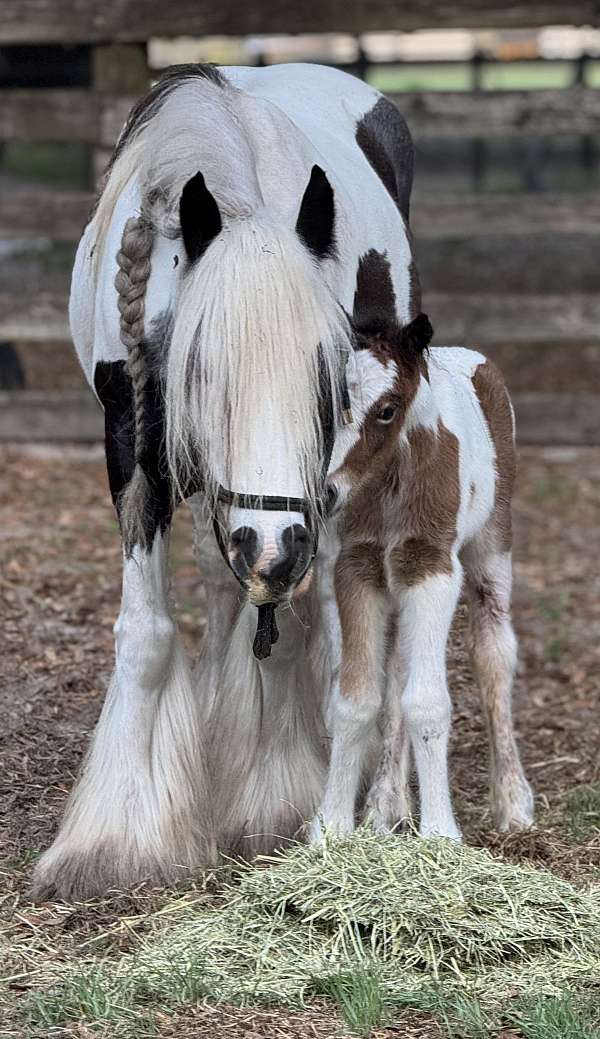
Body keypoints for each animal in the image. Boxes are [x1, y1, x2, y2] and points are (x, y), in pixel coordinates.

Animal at [32, 62, 422, 900]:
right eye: (201, 368)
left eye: (328, 374)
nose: (273, 547)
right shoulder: (133, 450)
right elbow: (149, 633)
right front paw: (115, 843)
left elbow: (287, 631)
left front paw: (271, 800)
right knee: (219, 581)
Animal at [312, 297, 534, 843]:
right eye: (327, 402)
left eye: (387, 410)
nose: (324, 494)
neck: (391, 486)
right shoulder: (358, 568)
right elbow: (356, 701)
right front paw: (331, 830)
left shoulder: (432, 569)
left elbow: (429, 703)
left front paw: (440, 835)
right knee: (398, 669)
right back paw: (385, 807)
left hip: (491, 548)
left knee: (494, 652)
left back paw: (513, 804)